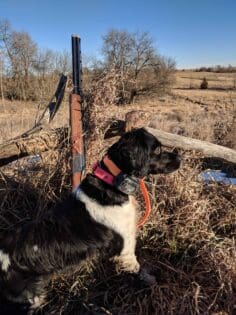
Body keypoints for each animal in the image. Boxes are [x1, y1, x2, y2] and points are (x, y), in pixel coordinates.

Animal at [0, 128, 180, 312]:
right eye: (157, 150)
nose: (179, 157)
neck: (111, 184)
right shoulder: (126, 249)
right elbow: (137, 269)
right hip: (27, 297)